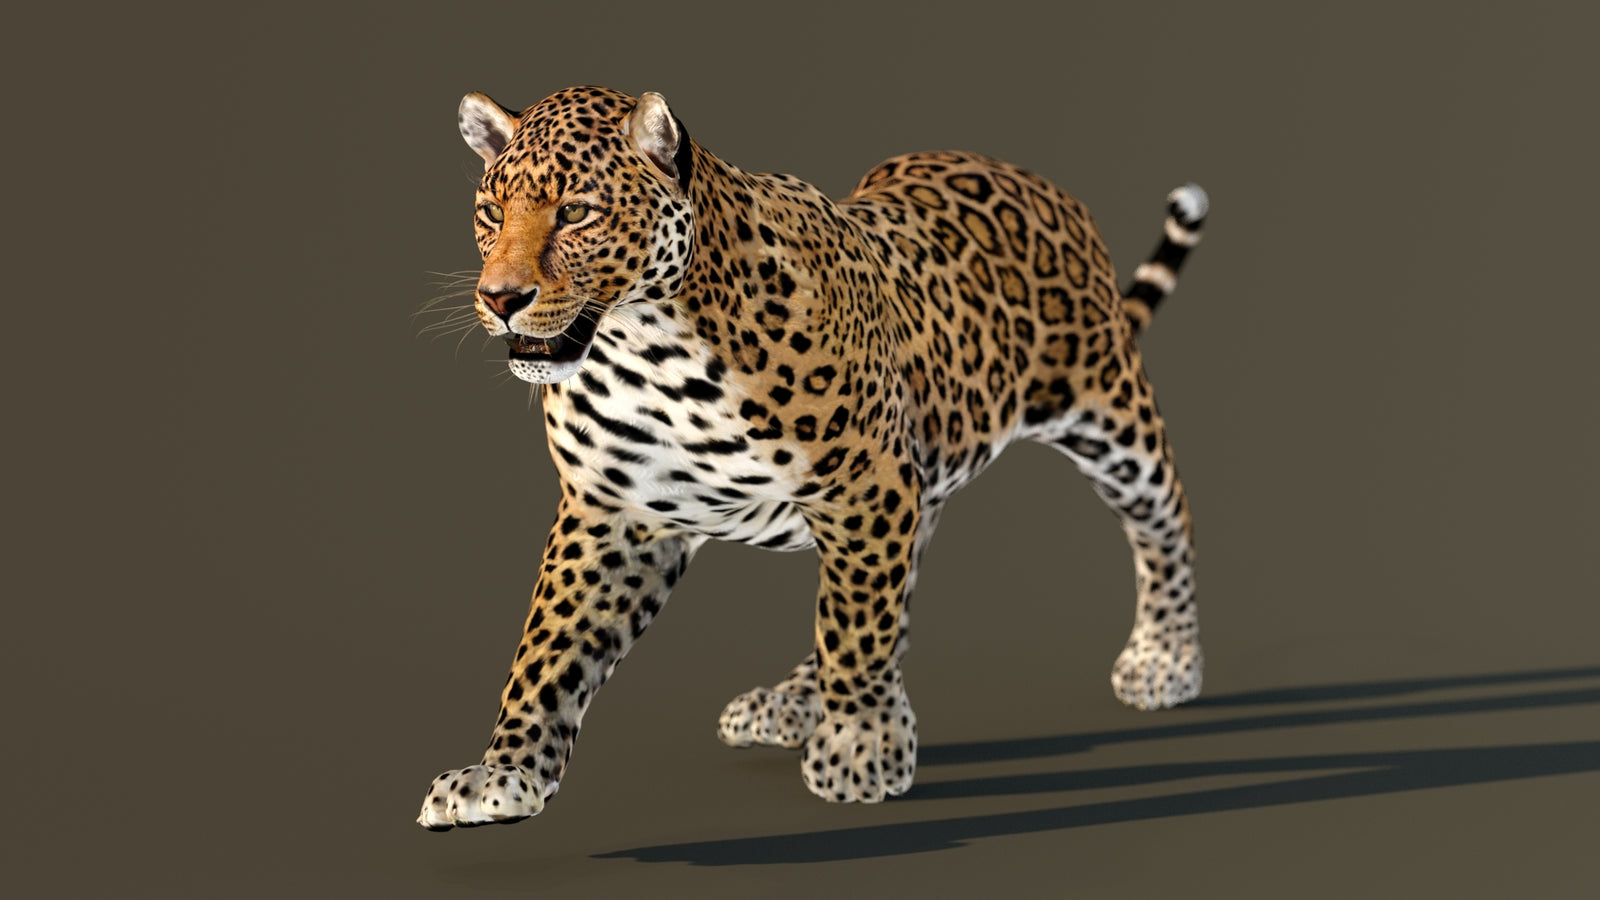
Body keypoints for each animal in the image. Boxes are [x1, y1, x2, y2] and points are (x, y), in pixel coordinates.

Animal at [417, 85, 1208, 830]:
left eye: (578, 212)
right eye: (490, 211)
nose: (501, 298)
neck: (647, 350)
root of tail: (1032, 177)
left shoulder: (865, 484)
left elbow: (855, 625)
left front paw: (859, 748)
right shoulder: (613, 510)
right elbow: (549, 648)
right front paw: (503, 773)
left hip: (1106, 410)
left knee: (1165, 521)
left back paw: (1165, 660)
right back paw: (796, 700)